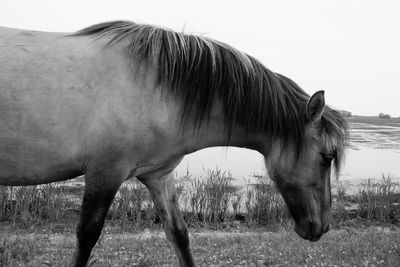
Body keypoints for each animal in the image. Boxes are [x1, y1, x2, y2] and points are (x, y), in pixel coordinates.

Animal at [0, 20, 348, 266]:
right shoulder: (104, 174)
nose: (322, 227)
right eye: (327, 155)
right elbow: (86, 236)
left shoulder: (159, 176)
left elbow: (179, 235)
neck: (156, 88)